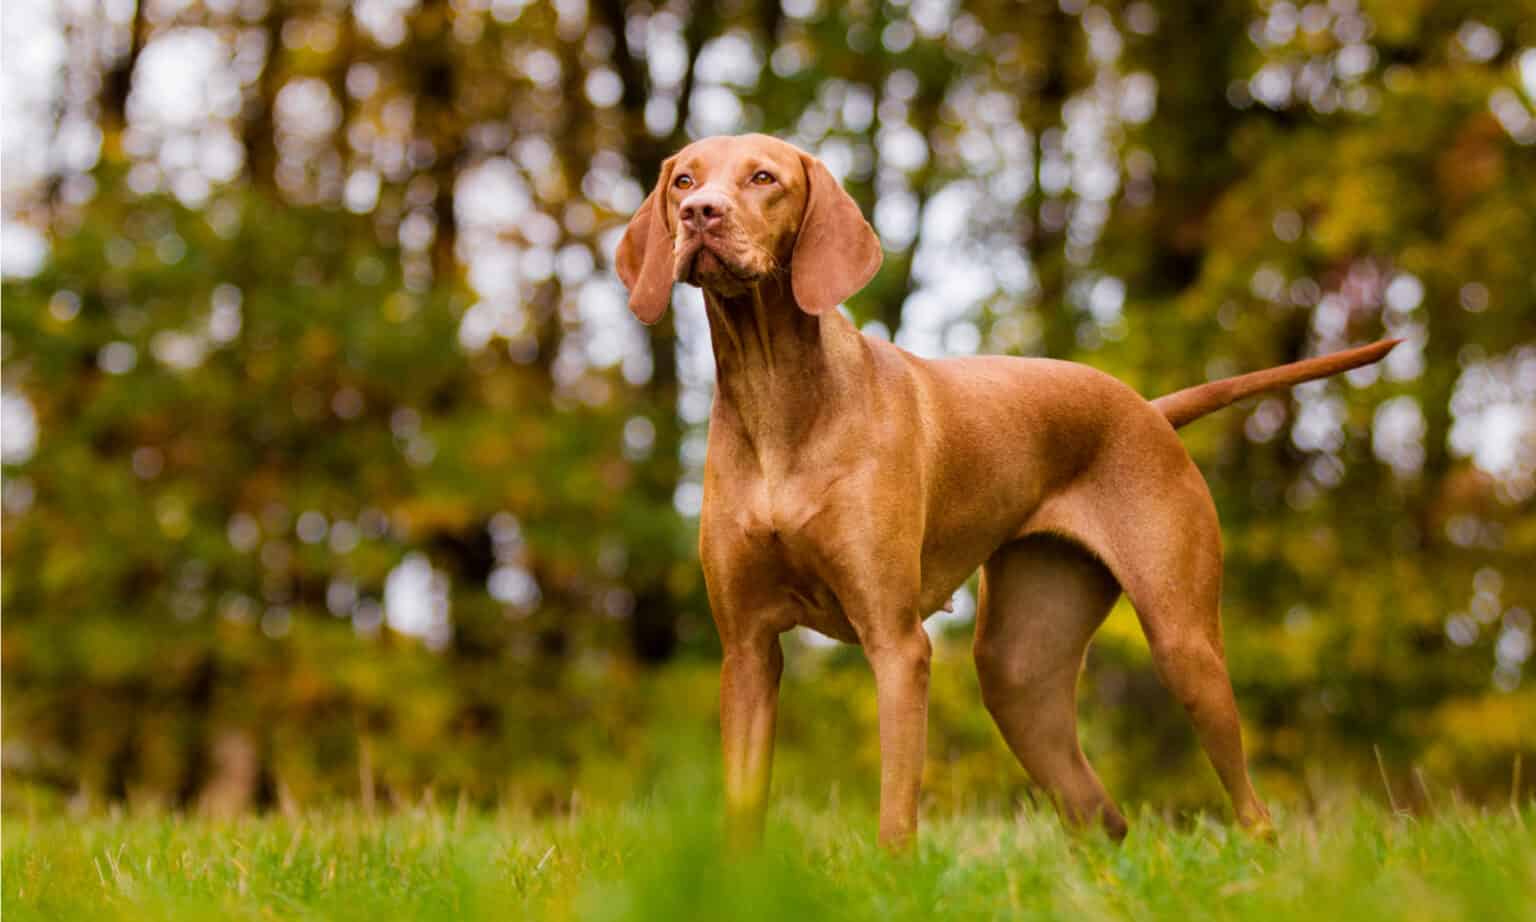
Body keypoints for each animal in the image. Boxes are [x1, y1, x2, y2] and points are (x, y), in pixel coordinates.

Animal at [617, 132, 1400, 848]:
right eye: (684, 179)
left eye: (763, 178)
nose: (699, 213)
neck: (777, 398)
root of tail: (1149, 409)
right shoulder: (747, 652)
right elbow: (742, 809)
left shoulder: (897, 644)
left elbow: (896, 811)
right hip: (1018, 670)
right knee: (1103, 817)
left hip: (1184, 645)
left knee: (1250, 806)